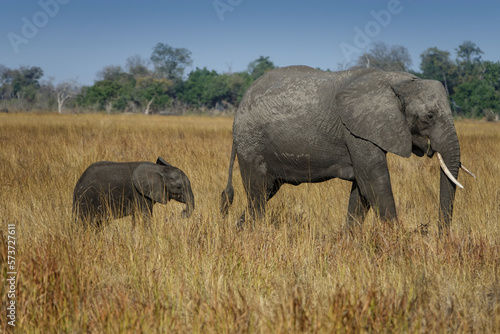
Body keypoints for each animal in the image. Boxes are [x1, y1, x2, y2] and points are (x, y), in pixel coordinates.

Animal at [221, 66, 474, 235]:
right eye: (429, 117)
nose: (440, 235)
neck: (398, 81)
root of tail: (239, 107)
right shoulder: (356, 131)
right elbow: (374, 180)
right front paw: (397, 241)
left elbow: (361, 188)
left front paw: (350, 240)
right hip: (252, 143)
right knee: (258, 193)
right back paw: (254, 234)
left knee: (265, 192)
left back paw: (239, 230)